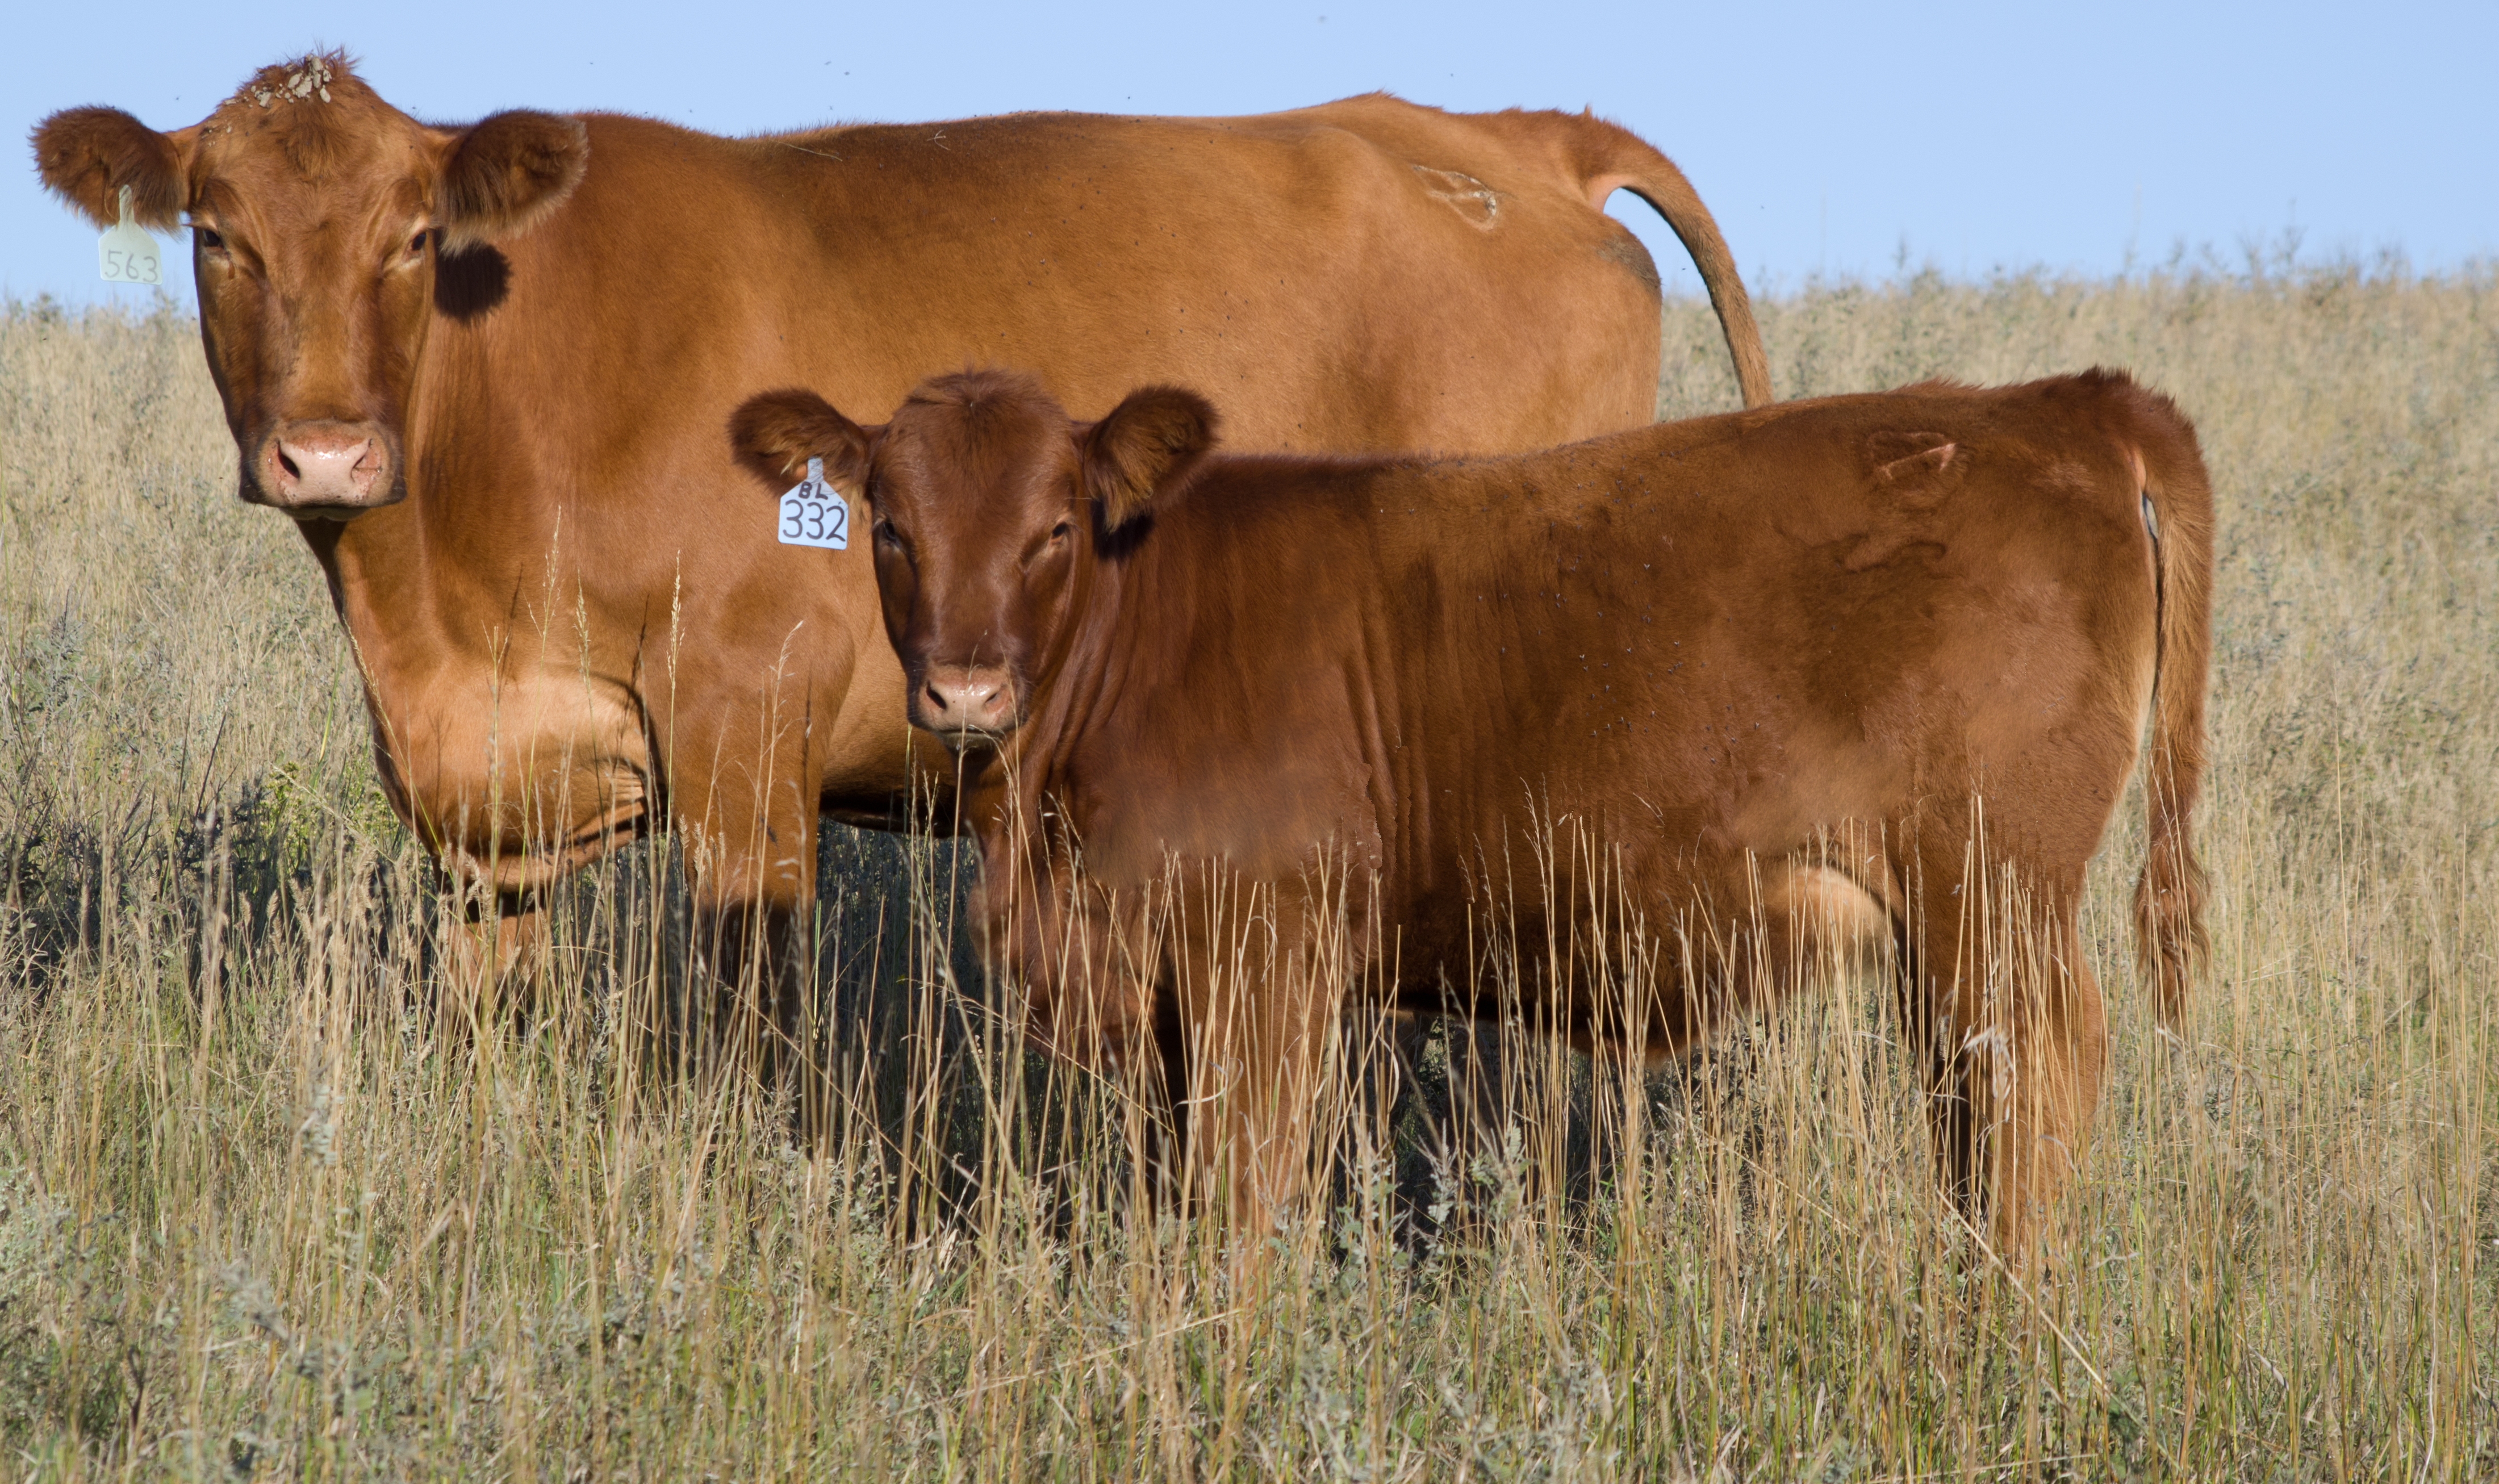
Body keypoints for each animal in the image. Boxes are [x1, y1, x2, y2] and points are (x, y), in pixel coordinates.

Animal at [24, 49, 1779, 1039]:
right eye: (217, 234)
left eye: (411, 236)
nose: (326, 448)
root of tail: (1505, 138)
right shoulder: (484, 812)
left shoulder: (748, 748)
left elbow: (749, 1038)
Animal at [725, 362, 2209, 1249]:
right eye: (890, 526)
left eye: (1053, 528)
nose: (966, 689)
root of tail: (2050, 402)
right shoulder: (1167, 992)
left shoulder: (1267, 956)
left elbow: (1239, 1198)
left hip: (1990, 892)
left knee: (2032, 1083)